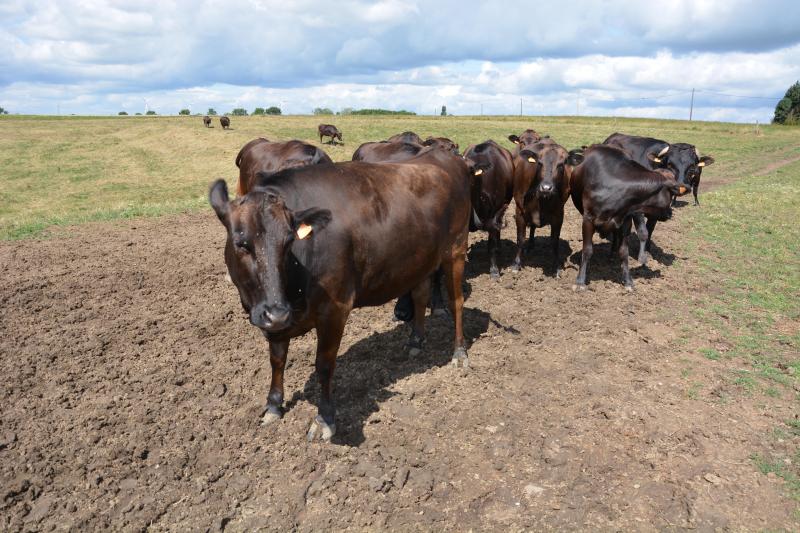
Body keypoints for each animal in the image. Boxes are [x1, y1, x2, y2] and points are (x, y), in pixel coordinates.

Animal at [208, 147, 476, 440]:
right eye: (241, 243)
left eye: (289, 242)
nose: (276, 313)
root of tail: (445, 155)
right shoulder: (276, 317)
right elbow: (277, 359)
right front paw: (273, 405)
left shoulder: (334, 308)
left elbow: (324, 365)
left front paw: (324, 419)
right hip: (420, 257)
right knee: (419, 294)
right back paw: (415, 341)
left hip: (455, 249)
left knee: (456, 302)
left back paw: (459, 352)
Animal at [510, 135, 580, 276]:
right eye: (539, 163)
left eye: (561, 164)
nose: (546, 188)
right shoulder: (519, 211)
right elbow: (520, 238)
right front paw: (516, 264)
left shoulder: (559, 215)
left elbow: (554, 241)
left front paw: (556, 267)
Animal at [568, 145, 680, 290]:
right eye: (672, 192)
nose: (670, 213)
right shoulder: (588, 220)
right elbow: (587, 250)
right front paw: (581, 281)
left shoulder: (625, 222)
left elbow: (624, 252)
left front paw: (627, 280)